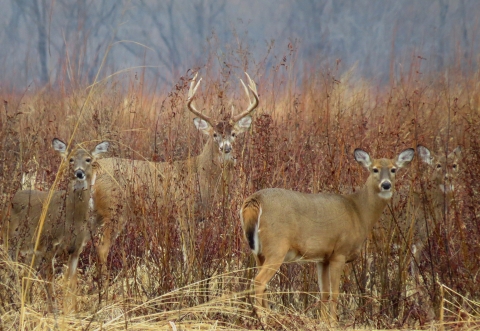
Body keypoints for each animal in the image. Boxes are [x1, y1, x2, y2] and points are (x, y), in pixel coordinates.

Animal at [2, 139, 109, 310]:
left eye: (88, 159)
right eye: (71, 159)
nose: (79, 173)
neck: (72, 220)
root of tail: (13, 198)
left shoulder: (76, 249)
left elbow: (71, 283)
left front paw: (72, 310)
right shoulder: (49, 245)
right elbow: (49, 280)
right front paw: (54, 310)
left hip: (32, 250)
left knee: (25, 275)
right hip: (9, 240)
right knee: (10, 271)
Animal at [93, 72, 258, 272]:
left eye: (233, 134)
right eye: (214, 135)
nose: (226, 149)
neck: (201, 174)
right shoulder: (184, 209)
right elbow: (189, 252)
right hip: (115, 208)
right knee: (101, 248)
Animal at [242, 148, 414, 324]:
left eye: (394, 169)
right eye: (375, 169)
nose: (386, 185)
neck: (359, 212)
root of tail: (254, 201)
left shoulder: (323, 258)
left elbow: (324, 292)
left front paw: (324, 321)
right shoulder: (339, 253)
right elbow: (335, 293)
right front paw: (333, 322)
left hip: (258, 252)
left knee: (262, 283)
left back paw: (267, 315)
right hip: (277, 246)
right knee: (259, 281)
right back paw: (263, 318)